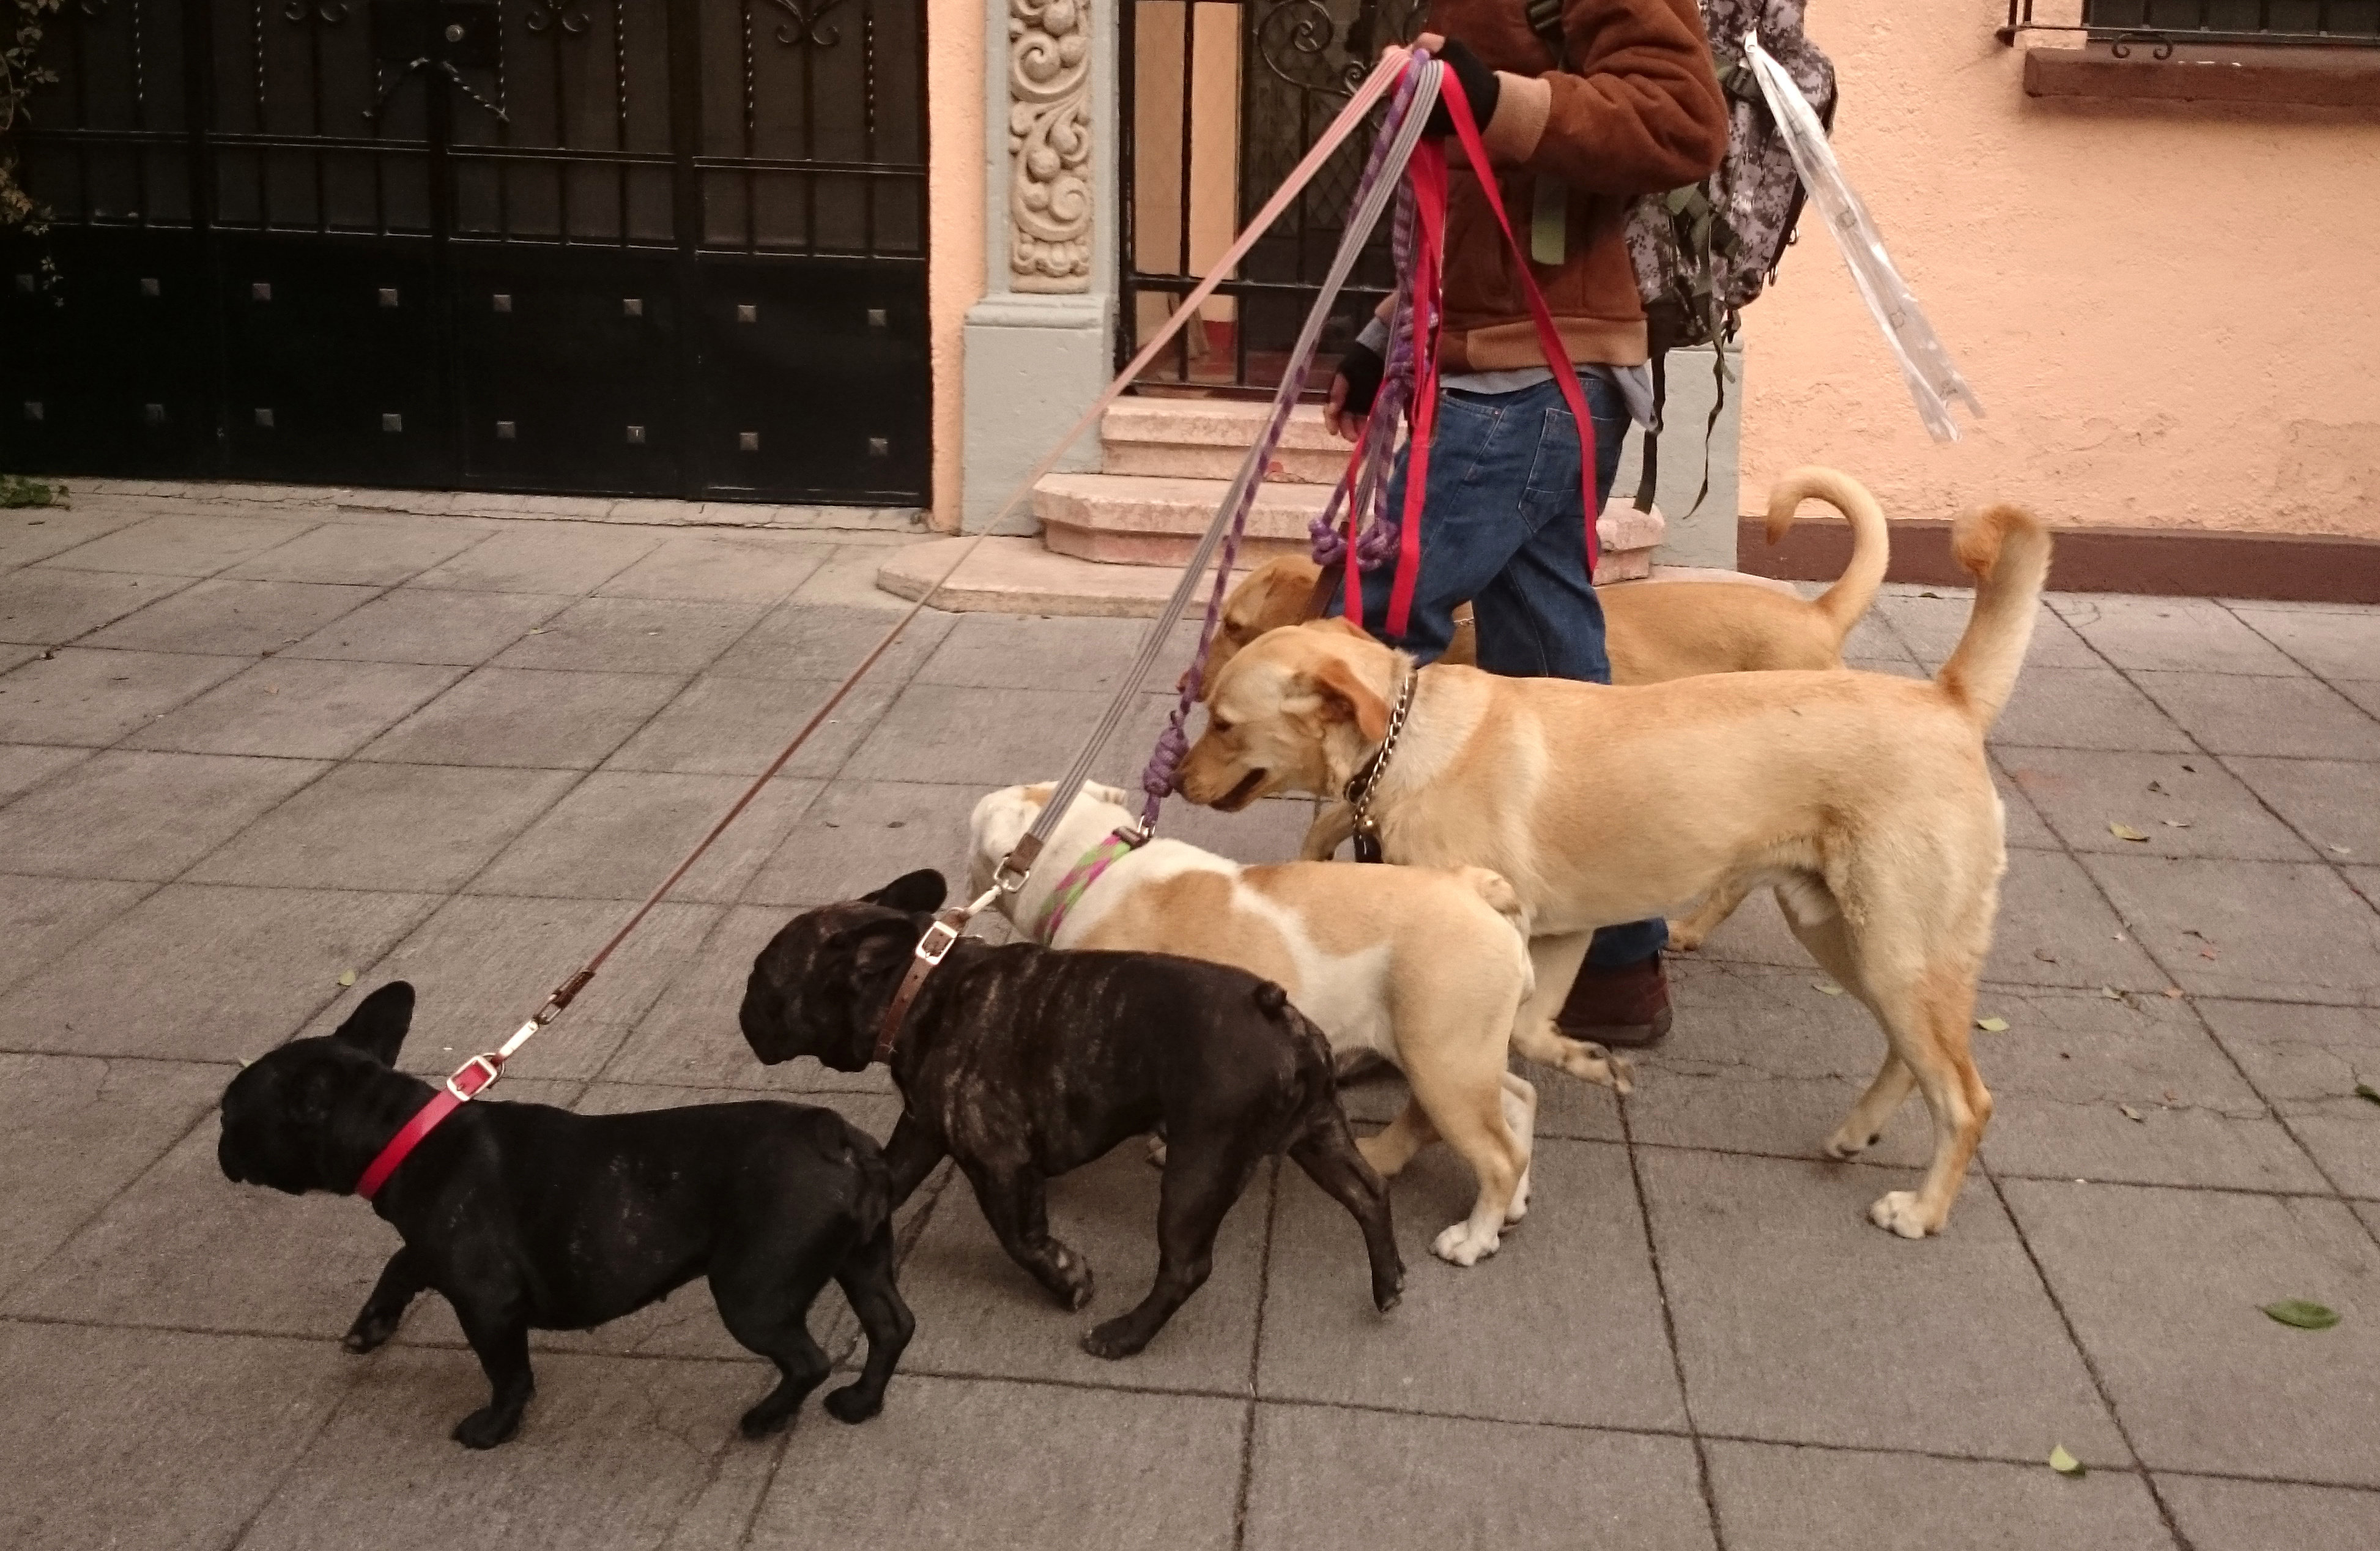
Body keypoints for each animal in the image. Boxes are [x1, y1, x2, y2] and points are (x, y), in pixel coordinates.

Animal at [742, 871, 1399, 1360]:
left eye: (760, 979)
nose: (741, 1010)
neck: (919, 982)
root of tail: (1275, 1011)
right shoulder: (924, 1129)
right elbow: (889, 1176)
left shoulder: (999, 1162)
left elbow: (1018, 1236)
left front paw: (1067, 1278)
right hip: (1317, 1132)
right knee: (1366, 1191)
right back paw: (1388, 1282)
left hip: (1201, 1165)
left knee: (1186, 1265)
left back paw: (1123, 1335)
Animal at [966, 780, 1618, 1265]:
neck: (1091, 866)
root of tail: (1475, 887)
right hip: (1458, 1052)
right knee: (1517, 1098)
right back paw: (1512, 1204)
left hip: (1442, 1064)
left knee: (1495, 1152)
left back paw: (1473, 1238)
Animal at [1171, 502, 2047, 1246]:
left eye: (1223, 723)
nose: (1174, 777)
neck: (1411, 737)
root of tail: (1947, 699)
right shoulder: (1556, 934)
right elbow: (1528, 1032)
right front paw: (1581, 1062)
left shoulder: (1466, 958)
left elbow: (1439, 1096)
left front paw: (1394, 1159)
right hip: (1848, 936)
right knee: (1914, 1054)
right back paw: (1857, 1130)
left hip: (1894, 947)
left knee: (1968, 1097)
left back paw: (1924, 1210)